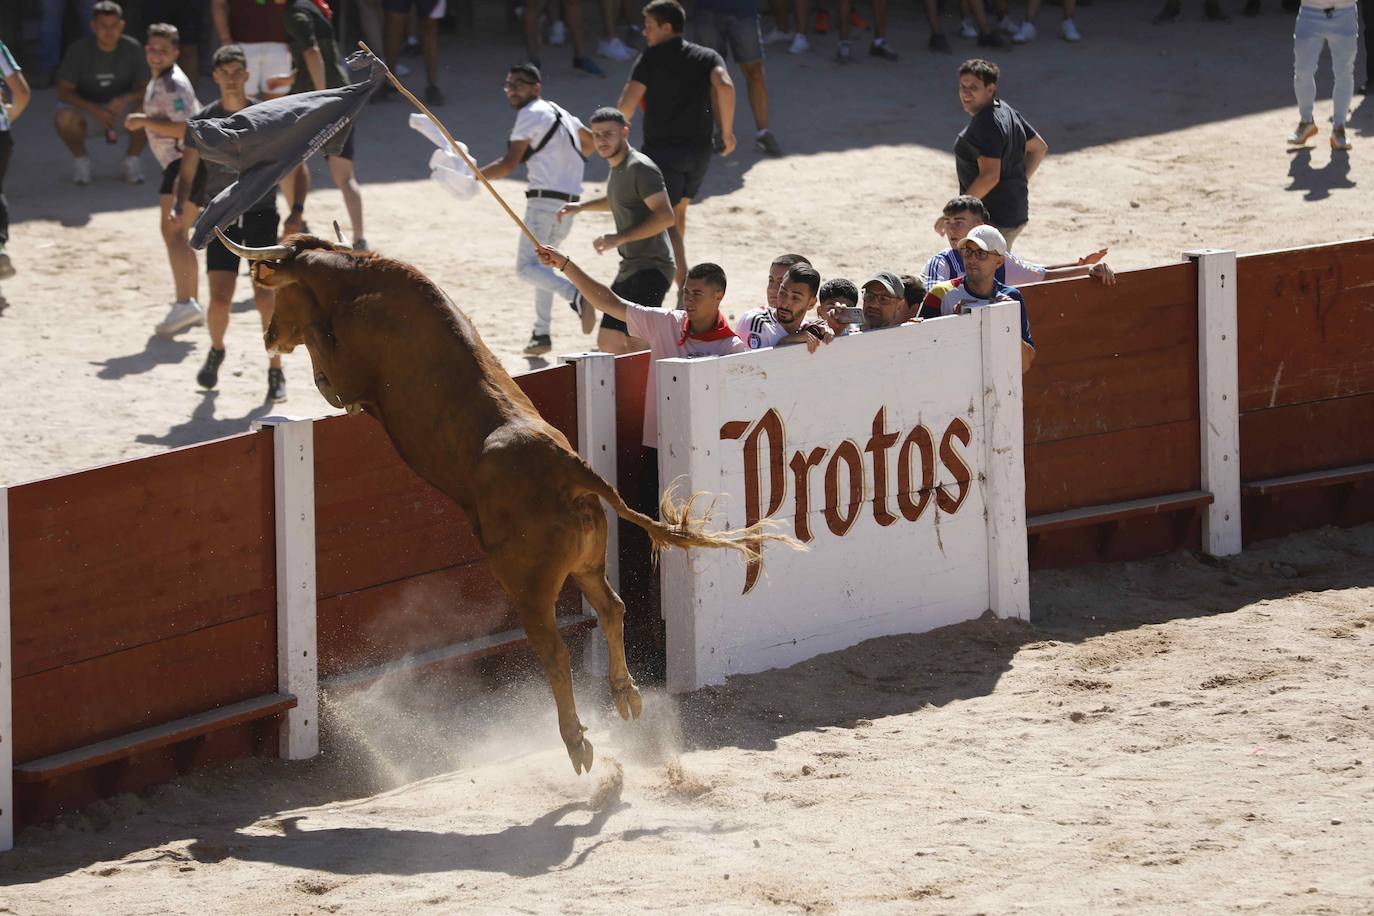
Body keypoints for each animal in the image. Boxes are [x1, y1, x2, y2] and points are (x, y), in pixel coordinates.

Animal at [218, 233, 791, 780]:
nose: (270, 337)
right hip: (586, 563)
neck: (358, 283)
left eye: (278, 290)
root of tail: (571, 469)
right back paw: (625, 697)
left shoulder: (346, 375)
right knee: (611, 608)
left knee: (554, 649)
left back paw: (577, 743)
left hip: (526, 585)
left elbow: (329, 367)